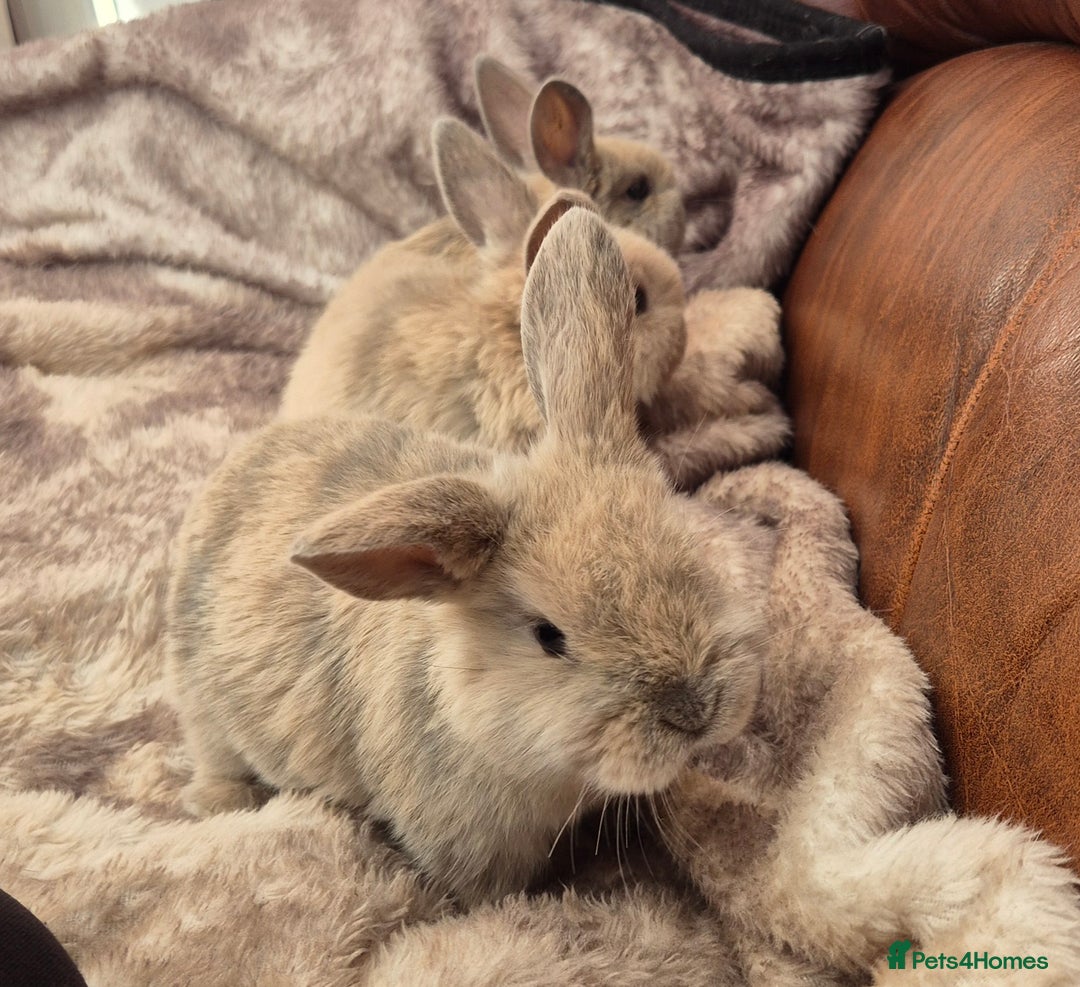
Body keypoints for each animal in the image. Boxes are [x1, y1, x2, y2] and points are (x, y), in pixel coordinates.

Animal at [167, 206, 774, 907]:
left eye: (691, 555)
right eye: (548, 638)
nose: (695, 710)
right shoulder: (472, 848)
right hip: (205, 711)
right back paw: (220, 801)